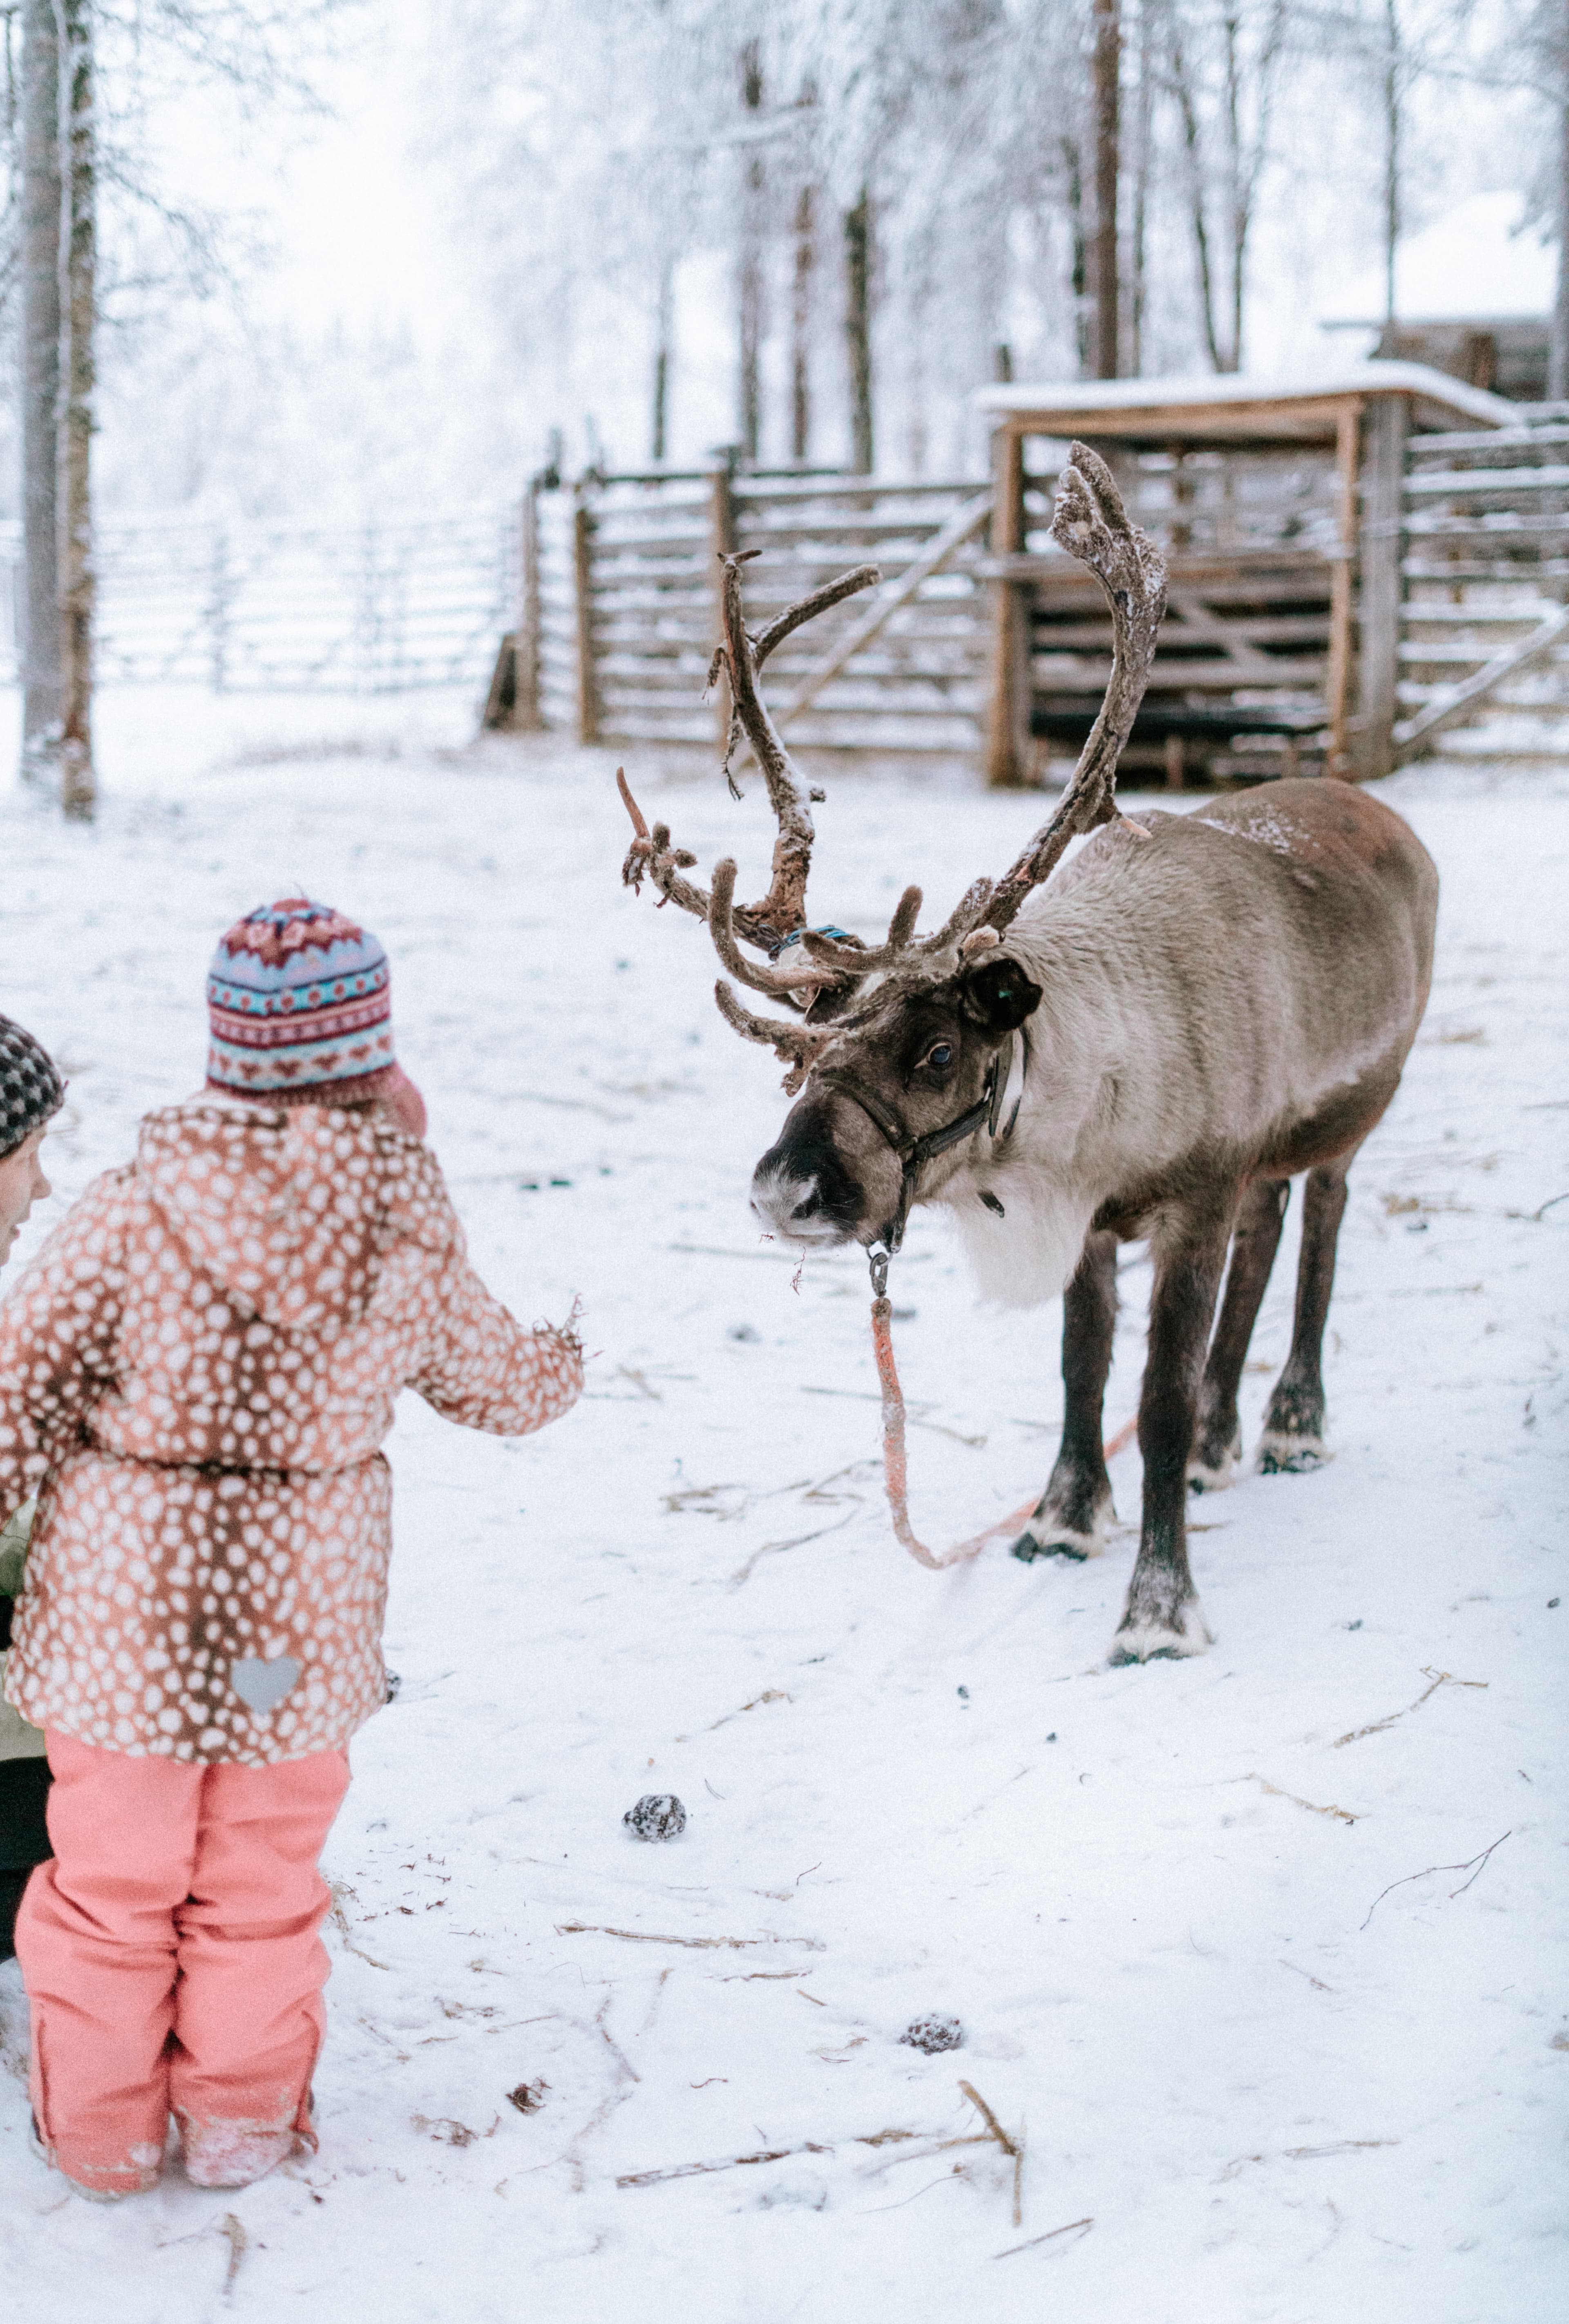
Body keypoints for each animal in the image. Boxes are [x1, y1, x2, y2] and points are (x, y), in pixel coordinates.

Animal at [617, 445, 1439, 1663]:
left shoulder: (1196, 1191)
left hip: (1356, 1111)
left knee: (1322, 1221)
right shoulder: (1096, 1219)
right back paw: (1227, 1442)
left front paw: (1157, 1607)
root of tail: (1382, 813)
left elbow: (1157, 1392)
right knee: (1273, 1227)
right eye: (800, 1054)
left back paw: (1292, 1421)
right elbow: (1080, 1367)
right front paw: (1060, 1519)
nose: (783, 1192)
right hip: (1270, 1153)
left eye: (939, 1047)